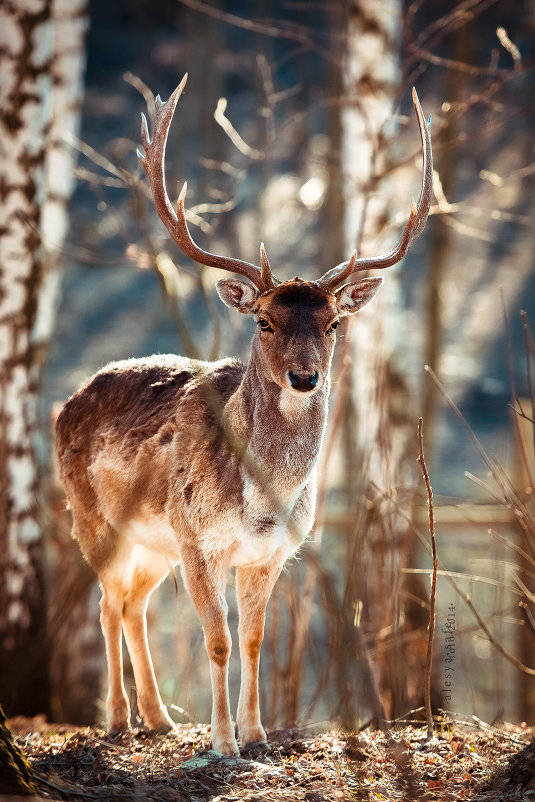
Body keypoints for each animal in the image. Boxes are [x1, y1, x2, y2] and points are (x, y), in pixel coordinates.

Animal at [54, 72, 434, 752]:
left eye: (334, 324)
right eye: (264, 321)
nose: (305, 377)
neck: (260, 501)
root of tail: (61, 406)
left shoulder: (272, 552)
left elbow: (255, 639)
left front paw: (256, 733)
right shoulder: (197, 538)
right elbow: (218, 640)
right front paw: (223, 742)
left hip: (154, 544)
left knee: (133, 605)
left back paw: (158, 717)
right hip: (95, 520)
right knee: (105, 604)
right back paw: (119, 719)